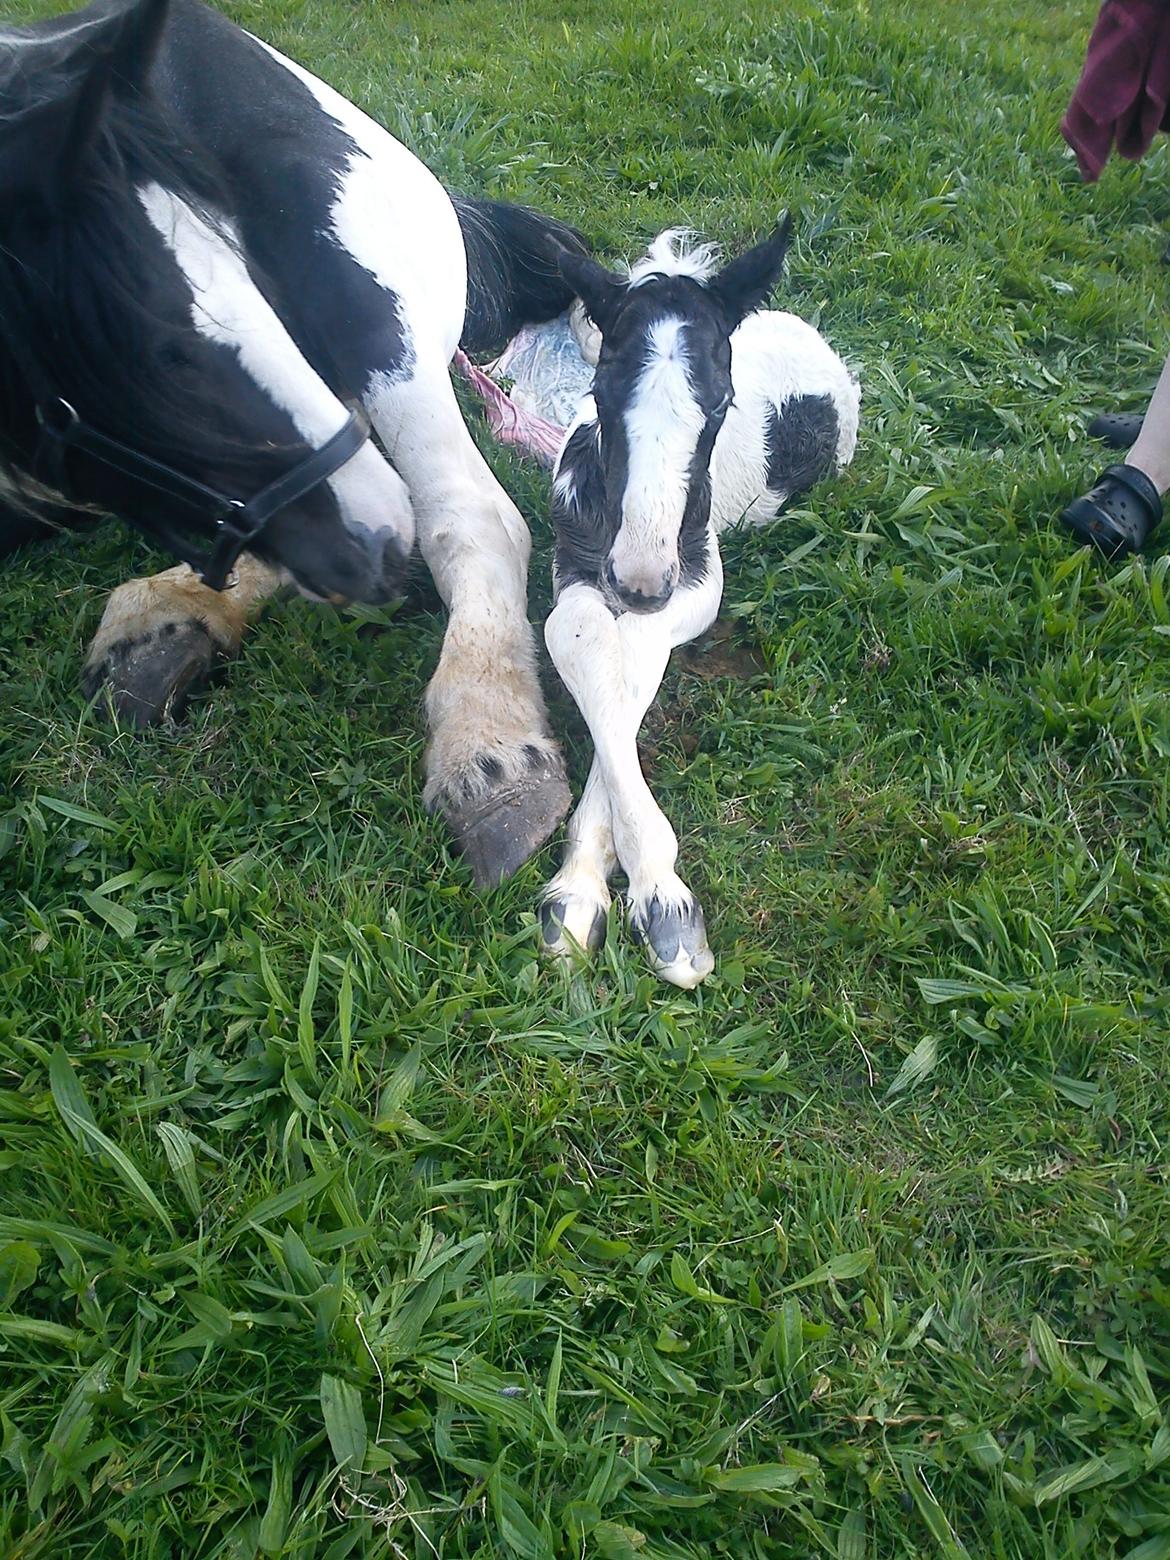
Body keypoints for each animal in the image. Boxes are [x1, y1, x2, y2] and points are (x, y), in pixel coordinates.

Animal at [539, 223, 861, 985]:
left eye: (719, 406)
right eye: (600, 398)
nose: (638, 581)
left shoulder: (697, 578)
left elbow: (632, 660)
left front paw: (657, 900)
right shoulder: (575, 563)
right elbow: (582, 635)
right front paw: (584, 896)